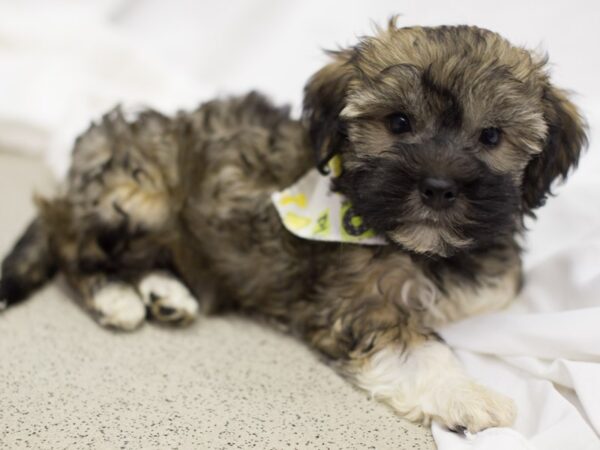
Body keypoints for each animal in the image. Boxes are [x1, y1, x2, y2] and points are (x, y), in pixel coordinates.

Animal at [0, 21, 584, 432]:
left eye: (491, 136)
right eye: (398, 123)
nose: (438, 188)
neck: (422, 247)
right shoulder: (358, 303)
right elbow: (420, 349)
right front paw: (470, 395)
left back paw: (168, 294)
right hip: (138, 197)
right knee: (72, 244)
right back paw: (115, 297)